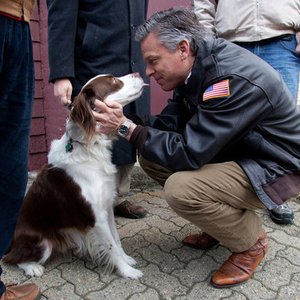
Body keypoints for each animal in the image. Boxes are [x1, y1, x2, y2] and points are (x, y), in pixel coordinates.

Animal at [3, 72, 146, 278]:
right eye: (113, 81)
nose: (138, 73)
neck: (90, 147)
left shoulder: (107, 205)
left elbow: (116, 239)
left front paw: (126, 260)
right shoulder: (96, 215)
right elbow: (111, 246)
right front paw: (127, 271)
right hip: (41, 243)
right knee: (11, 258)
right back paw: (32, 267)